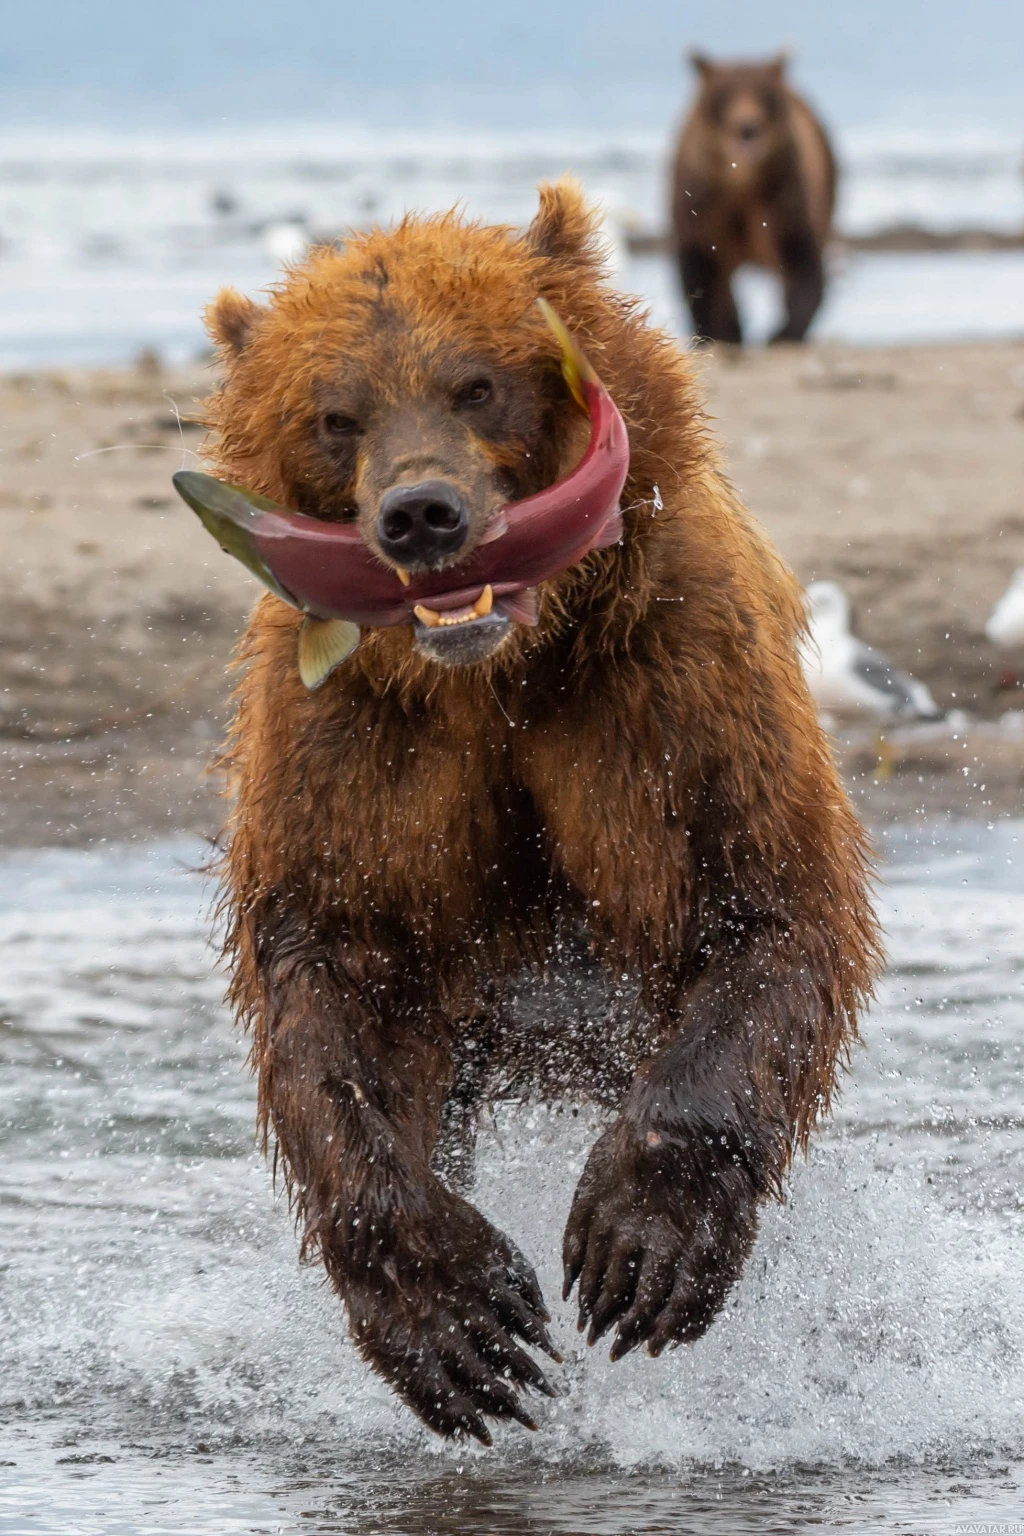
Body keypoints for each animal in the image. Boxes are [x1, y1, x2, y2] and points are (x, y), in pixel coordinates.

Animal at [199, 179, 884, 1437]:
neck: (502, 673)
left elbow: (766, 909)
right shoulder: (358, 751)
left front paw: (639, 1250)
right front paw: (456, 1321)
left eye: (478, 380)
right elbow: (333, 987)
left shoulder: (672, 689)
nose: (421, 514)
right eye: (337, 414)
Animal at [669, 53, 835, 345]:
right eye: (724, 94)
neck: (741, 182)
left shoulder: (781, 196)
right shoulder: (702, 203)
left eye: (764, 93)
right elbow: (701, 270)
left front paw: (782, 332)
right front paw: (719, 332)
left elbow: (801, 262)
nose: (747, 127)